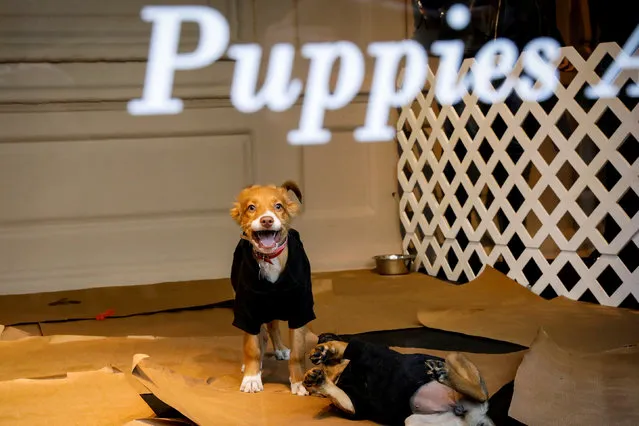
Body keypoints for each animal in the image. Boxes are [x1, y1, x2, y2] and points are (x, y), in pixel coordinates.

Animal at [231, 181, 318, 396]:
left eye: (278, 206)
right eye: (251, 208)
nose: (267, 220)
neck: (269, 259)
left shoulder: (300, 310)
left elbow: (297, 352)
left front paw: (298, 382)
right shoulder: (247, 311)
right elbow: (252, 347)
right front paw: (252, 378)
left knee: (273, 326)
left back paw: (279, 348)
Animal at [302, 334, 496, 424]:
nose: (321, 337)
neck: (339, 372)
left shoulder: (366, 348)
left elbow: (343, 346)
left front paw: (324, 349)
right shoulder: (353, 403)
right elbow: (334, 390)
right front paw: (318, 381)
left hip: (453, 356)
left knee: (481, 394)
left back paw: (442, 372)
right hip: (412, 421)